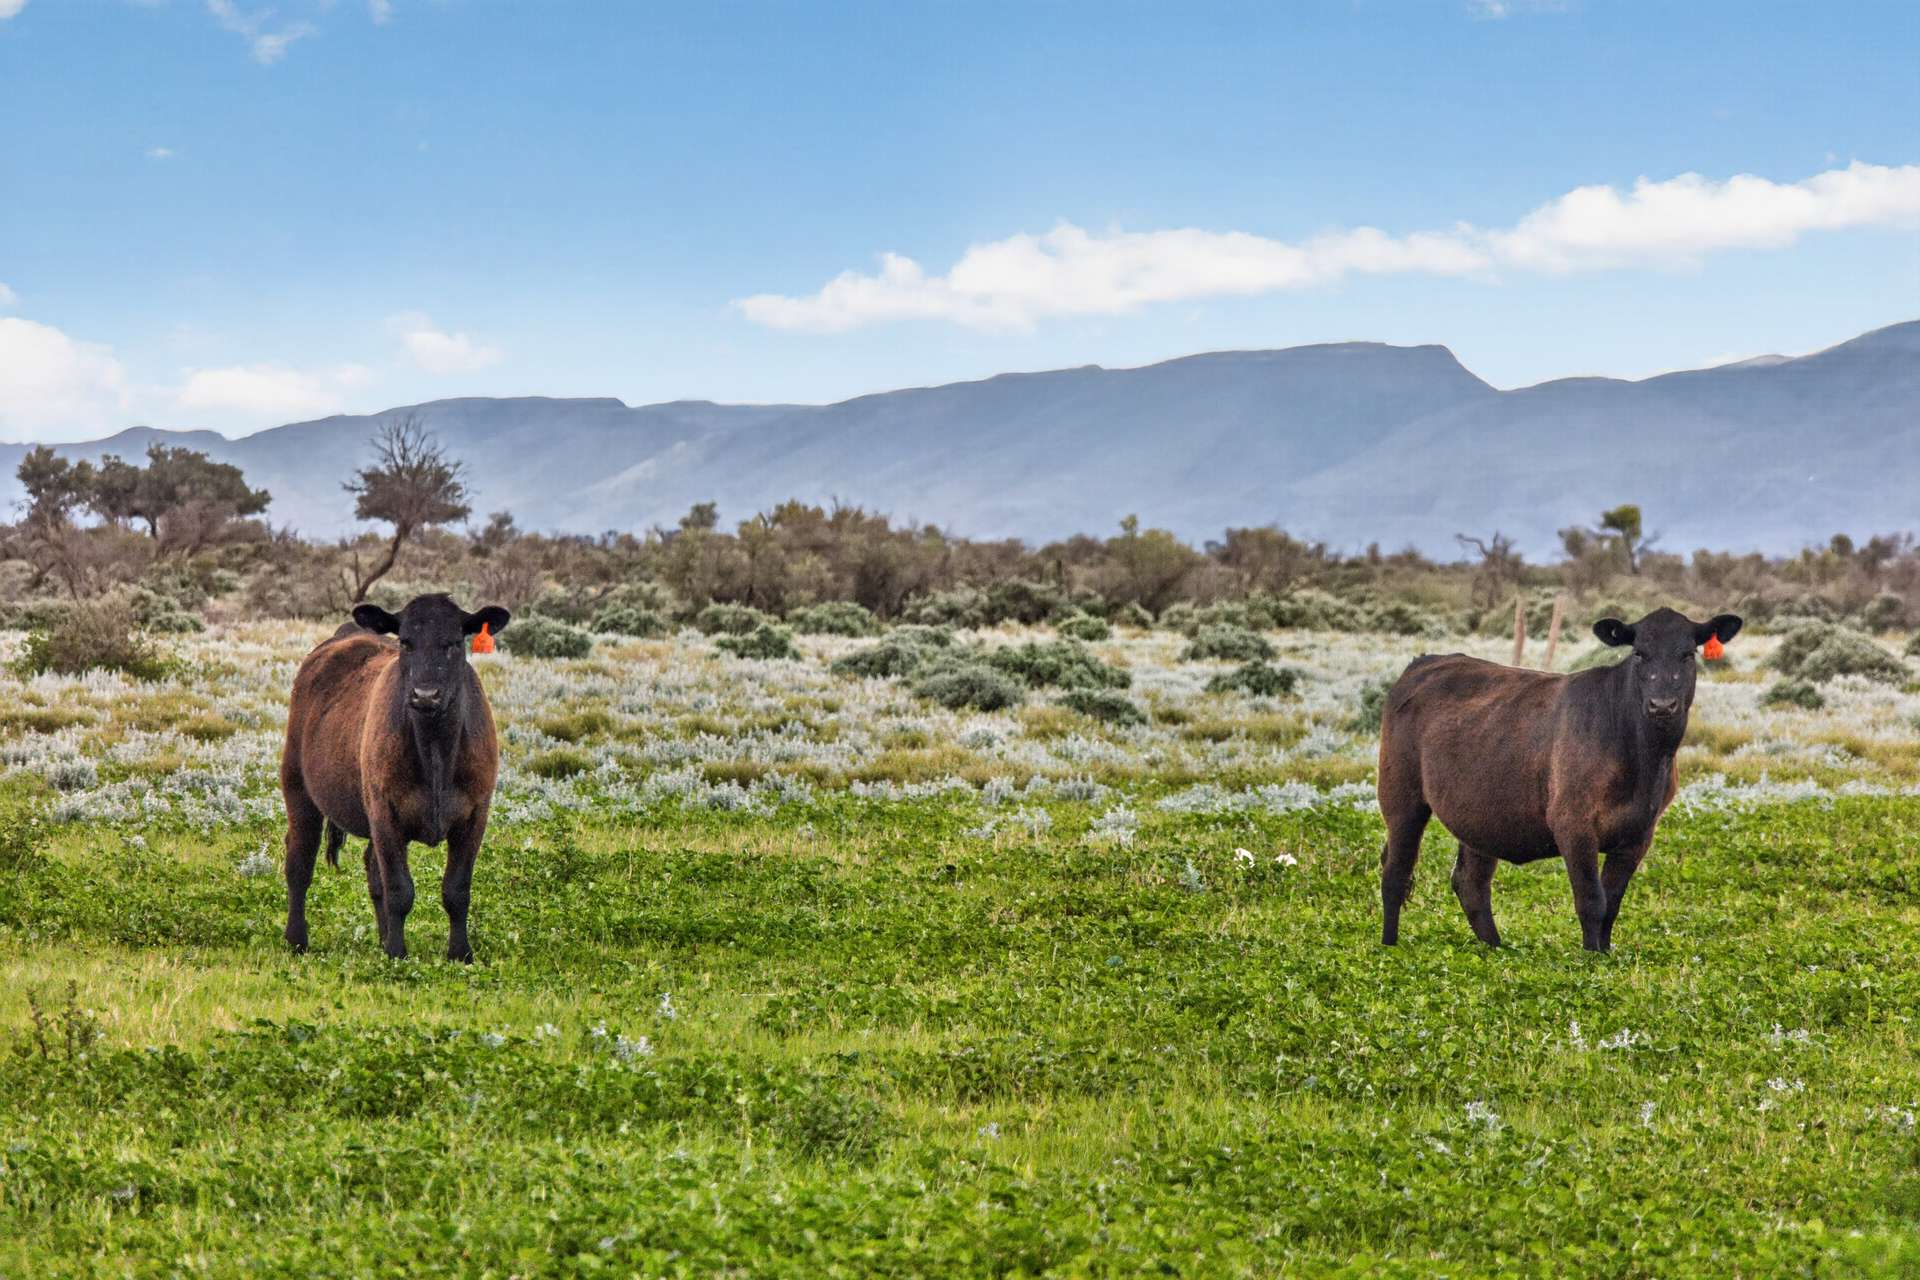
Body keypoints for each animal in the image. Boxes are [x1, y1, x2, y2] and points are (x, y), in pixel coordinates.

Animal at [280, 594, 511, 961]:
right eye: (406, 641)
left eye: (453, 642)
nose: (425, 694)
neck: (435, 751)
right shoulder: (385, 813)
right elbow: (400, 890)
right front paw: (397, 954)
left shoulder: (475, 815)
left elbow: (457, 890)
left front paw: (460, 953)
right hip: (298, 788)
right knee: (299, 863)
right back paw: (296, 940)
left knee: (371, 871)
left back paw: (381, 936)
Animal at [1376, 607, 1741, 951]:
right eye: (1639, 653)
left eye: (1688, 654)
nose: (1662, 705)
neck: (1642, 759)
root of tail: (1427, 660)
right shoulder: (1572, 821)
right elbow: (1592, 900)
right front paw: (1591, 958)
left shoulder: (1639, 832)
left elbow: (1612, 903)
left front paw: (1605, 954)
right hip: (1400, 795)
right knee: (1396, 872)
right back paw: (1389, 945)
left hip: (1479, 812)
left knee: (1471, 882)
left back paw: (1497, 949)